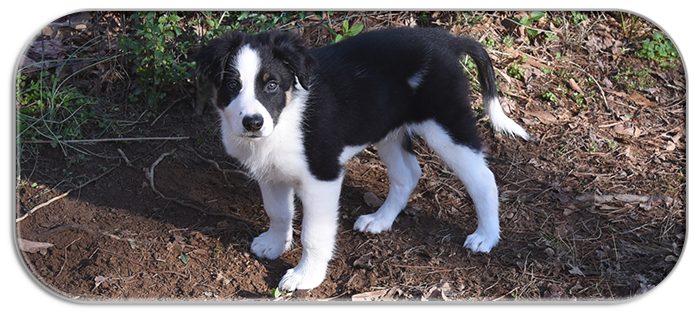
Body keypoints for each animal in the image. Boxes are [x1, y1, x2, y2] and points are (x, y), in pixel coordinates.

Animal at [194, 27, 528, 292]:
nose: (252, 123)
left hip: (446, 124)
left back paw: (485, 237)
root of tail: (447, 40)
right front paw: (274, 245)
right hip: (389, 130)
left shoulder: (322, 177)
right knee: (408, 174)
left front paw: (305, 276)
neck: (286, 118)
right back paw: (380, 220)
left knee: (483, 179)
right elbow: (277, 212)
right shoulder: (271, 173)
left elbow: (314, 234)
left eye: (272, 85)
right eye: (233, 85)